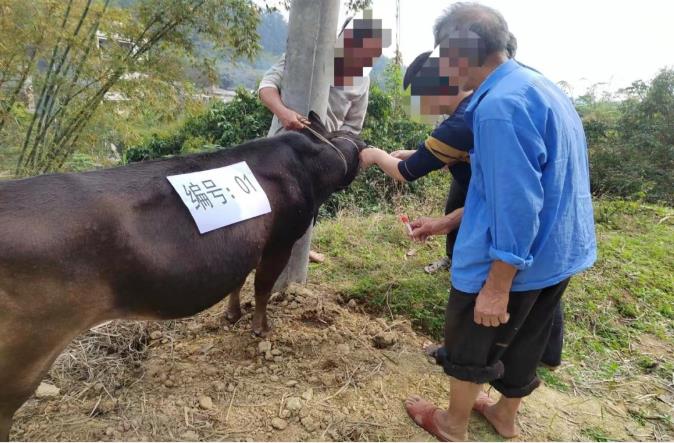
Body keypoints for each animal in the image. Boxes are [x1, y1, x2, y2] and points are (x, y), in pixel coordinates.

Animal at [0, 112, 364, 440]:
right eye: (351, 138)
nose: (363, 143)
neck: (306, 165)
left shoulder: (243, 245)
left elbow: (238, 279)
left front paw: (232, 315)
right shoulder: (281, 240)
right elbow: (262, 286)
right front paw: (261, 328)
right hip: (28, 348)